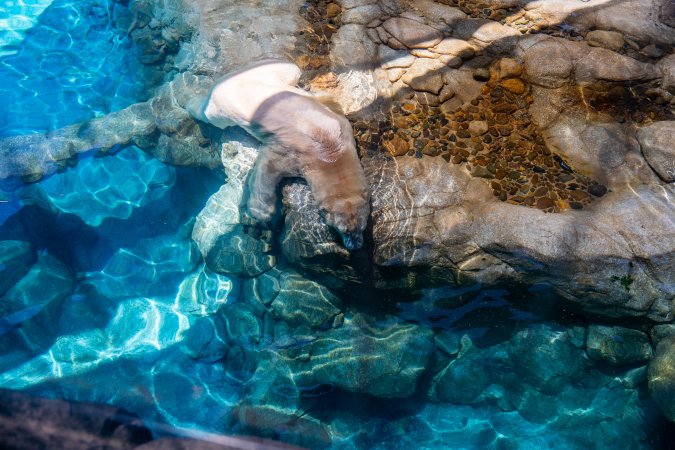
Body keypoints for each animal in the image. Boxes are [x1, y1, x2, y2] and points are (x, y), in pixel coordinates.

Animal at [187, 60, 370, 250]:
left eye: (362, 227)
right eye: (343, 230)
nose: (355, 246)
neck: (330, 150)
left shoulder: (341, 125)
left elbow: (327, 102)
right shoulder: (297, 154)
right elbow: (268, 167)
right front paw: (261, 211)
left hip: (265, 72)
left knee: (291, 69)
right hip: (222, 108)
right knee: (209, 114)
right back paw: (191, 102)